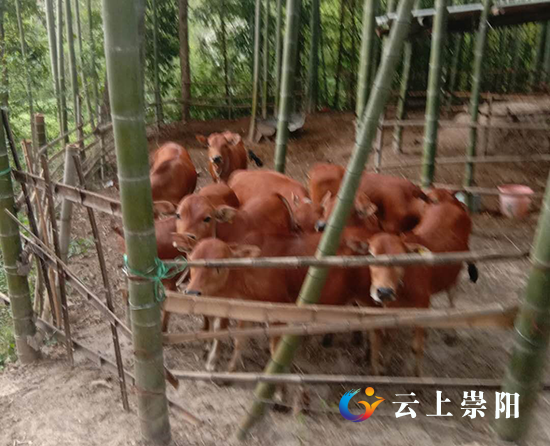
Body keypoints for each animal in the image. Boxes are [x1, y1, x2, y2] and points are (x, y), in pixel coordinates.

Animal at [363, 200, 476, 376]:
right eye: (370, 254)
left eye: (401, 257)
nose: (384, 292)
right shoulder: (391, 307)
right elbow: (389, 337)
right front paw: (386, 364)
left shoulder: (422, 305)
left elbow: (416, 347)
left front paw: (416, 374)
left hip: (455, 271)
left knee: (452, 297)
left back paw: (451, 333)